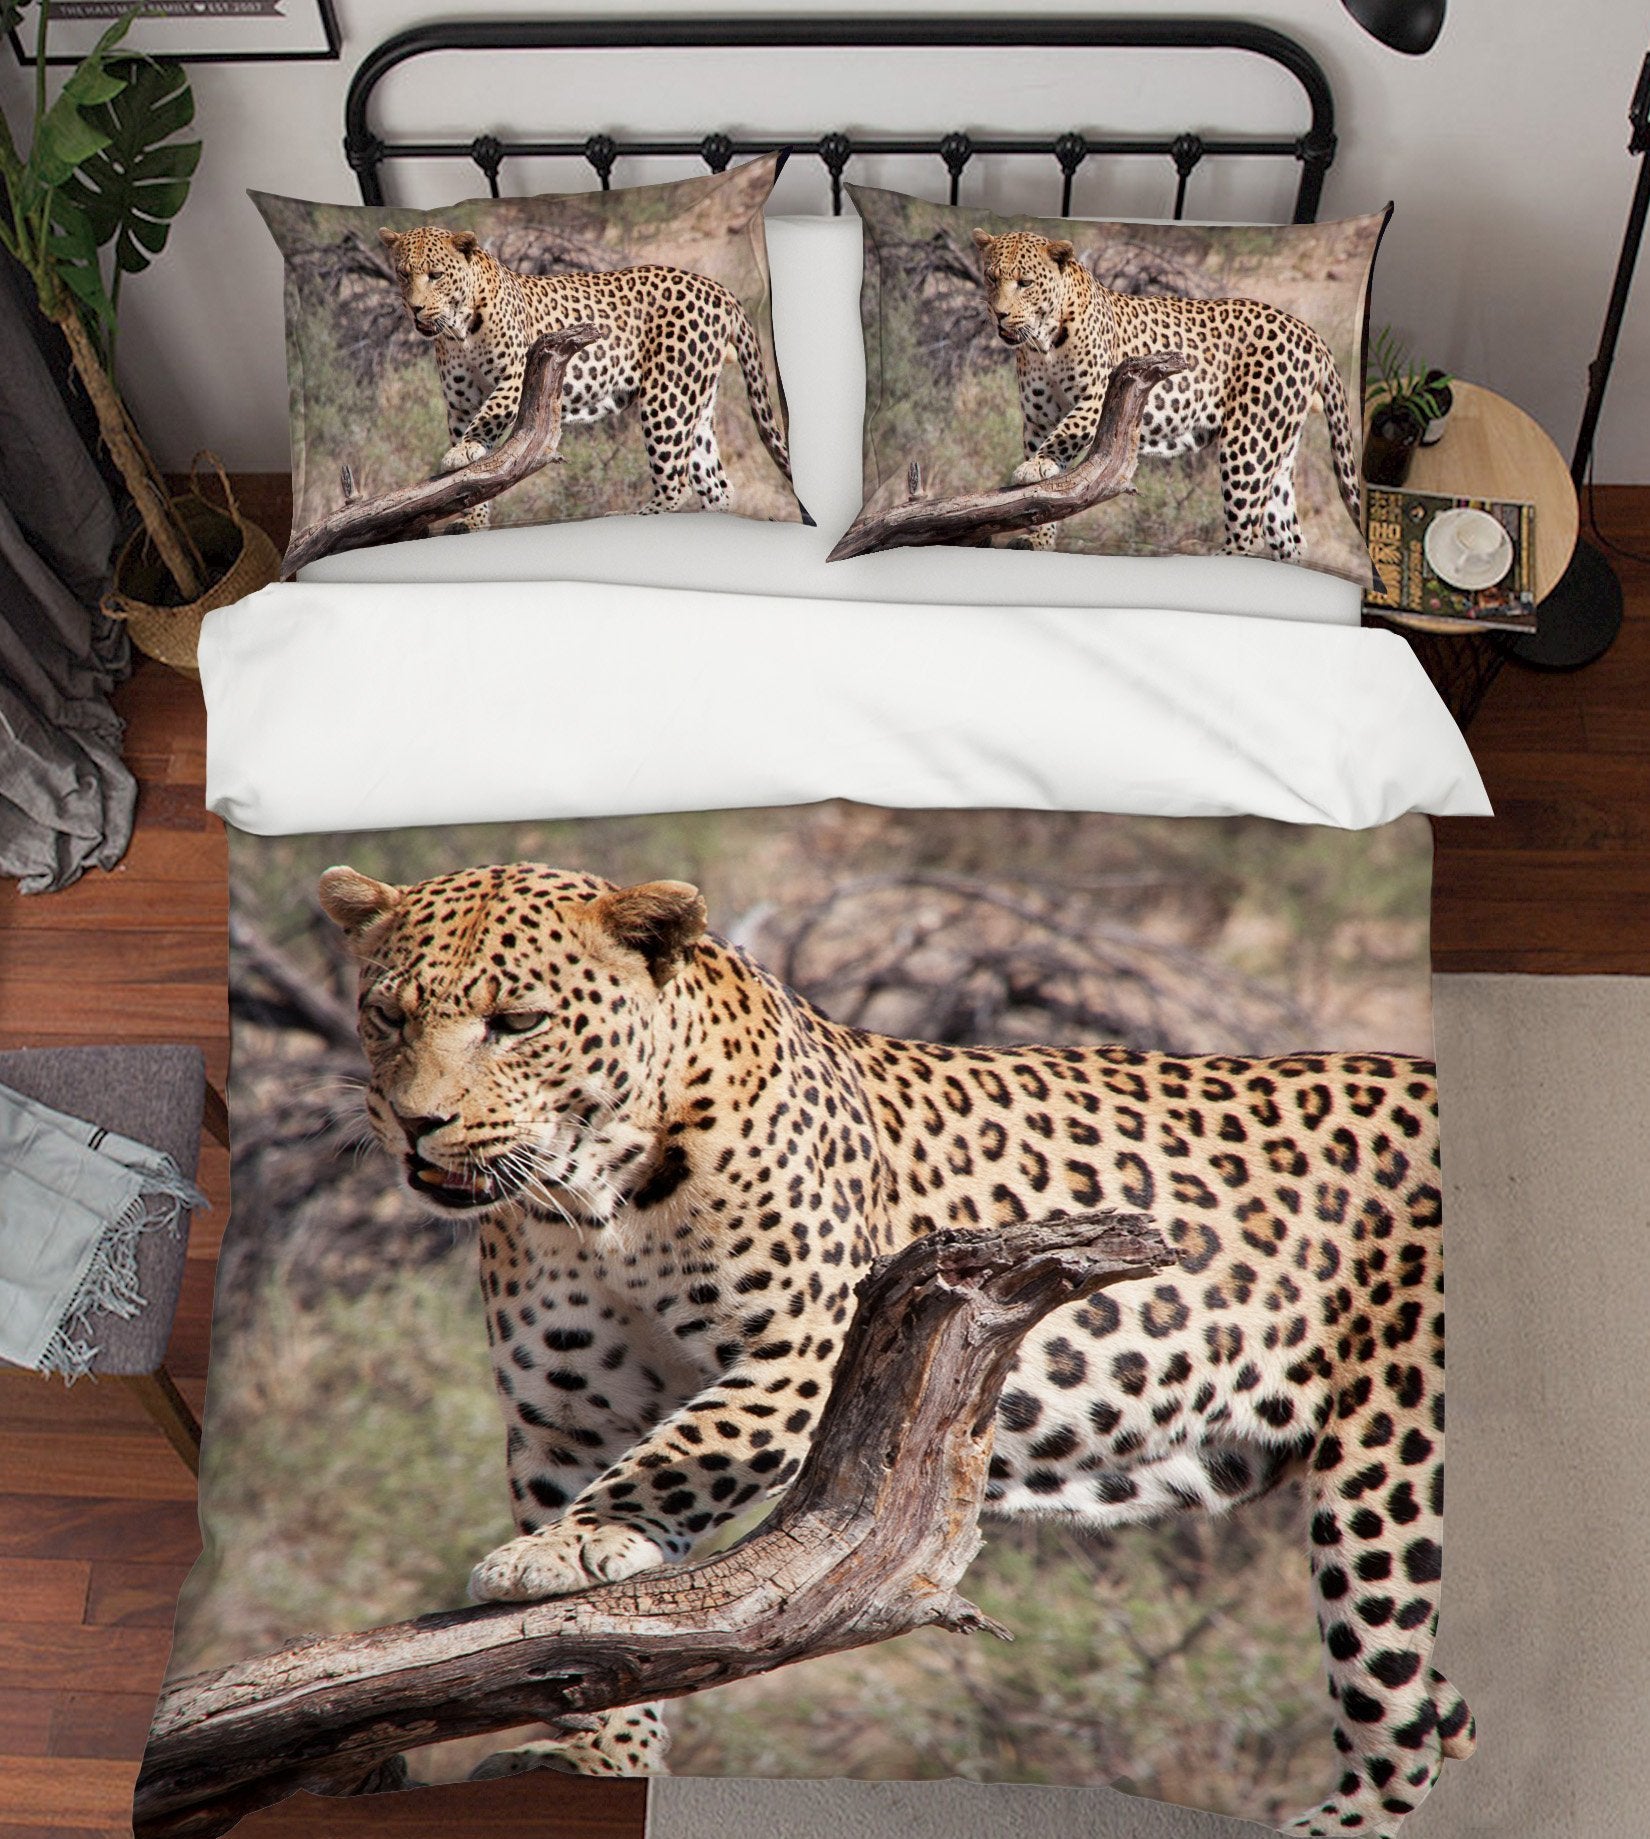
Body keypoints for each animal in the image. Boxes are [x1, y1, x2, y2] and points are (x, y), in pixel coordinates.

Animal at [319, 859, 1474, 1835]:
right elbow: (587, 1635)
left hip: (1388, 1475)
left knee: (1400, 1720)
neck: (591, 1200)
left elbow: (682, 1452)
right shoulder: (563, 1415)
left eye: (517, 1022)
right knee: (1441, 1710)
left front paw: (570, 1544)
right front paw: (598, 1758)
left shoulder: (811, 1346)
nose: (417, 1123)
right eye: (387, 1014)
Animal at [378, 226, 792, 529]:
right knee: (716, 484)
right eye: (403, 274)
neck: (458, 330)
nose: (415, 309)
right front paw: (473, 520)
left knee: (676, 481)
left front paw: (463, 450)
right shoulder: (460, 404)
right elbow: (473, 477)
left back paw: (631, 516)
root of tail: (718, 288)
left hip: (668, 396)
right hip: (697, 400)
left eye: (436, 275)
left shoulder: (516, 375)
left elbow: (488, 417)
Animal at [972, 229, 1363, 562]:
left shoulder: (1096, 398)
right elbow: (1045, 494)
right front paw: (1037, 539)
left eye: (1025, 283)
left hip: (1250, 441)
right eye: (991, 278)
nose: (1000, 314)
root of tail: (1309, 332)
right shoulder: (1037, 419)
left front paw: (1037, 464)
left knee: (1246, 529)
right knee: (1289, 536)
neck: (1042, 344)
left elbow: (1065, 434)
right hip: (1277, 450)